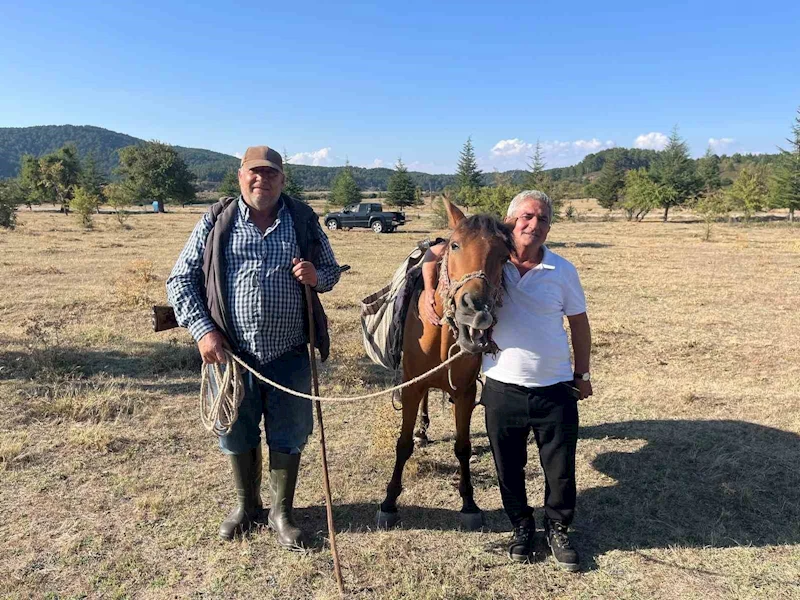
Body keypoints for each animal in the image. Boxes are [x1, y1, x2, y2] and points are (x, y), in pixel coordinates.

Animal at [376, 198, 512, 528]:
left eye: (505, 256)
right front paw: (389, 502)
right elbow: (403, 444)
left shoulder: (465, 393)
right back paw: (422, 430)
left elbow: (462, 447)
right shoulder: (410, 387)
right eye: (455, 245)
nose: (475, 309)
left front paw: (469, 503)